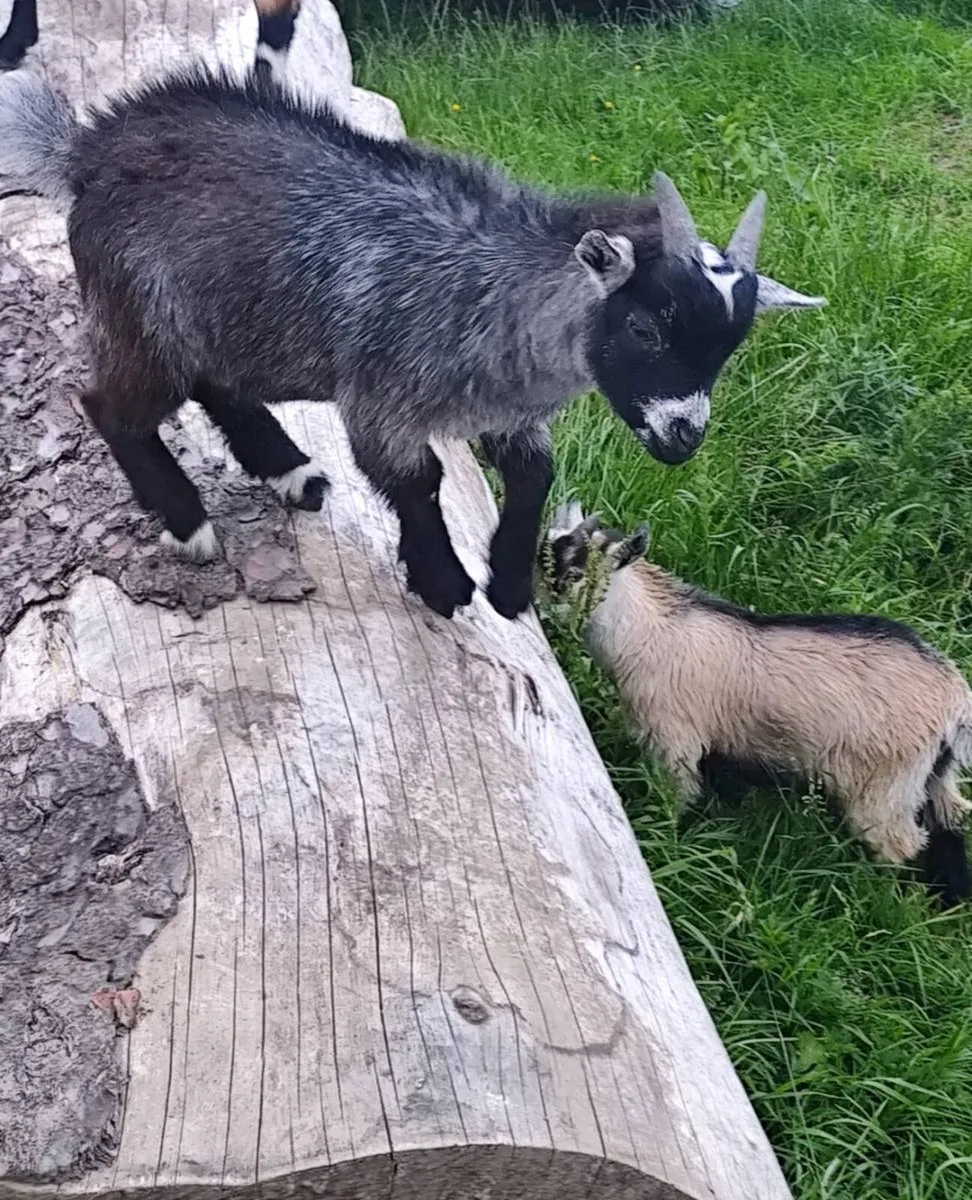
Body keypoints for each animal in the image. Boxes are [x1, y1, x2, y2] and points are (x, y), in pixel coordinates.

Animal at [0, 65, 825, 621]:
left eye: (729, 347)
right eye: (646, 326)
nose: (684, 437)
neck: (498, 296)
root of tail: (86, 151)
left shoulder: (508, 415)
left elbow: (535, 476)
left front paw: (508, 584)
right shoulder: (382, 397)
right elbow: (418, 481)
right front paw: (444, 583)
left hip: (220, 317)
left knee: (216, 384)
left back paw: (291, 471)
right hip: (139, 310)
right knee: (110, 407)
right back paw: (190, 521)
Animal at [547, 504, 972, 906]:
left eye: (575, 575)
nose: (543, 613)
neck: (649, 633)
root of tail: (955, 700)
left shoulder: (673, 739)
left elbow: (675, 797)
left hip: (882, 786)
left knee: (898, 843)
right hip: (932, 779)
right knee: (949, 827)